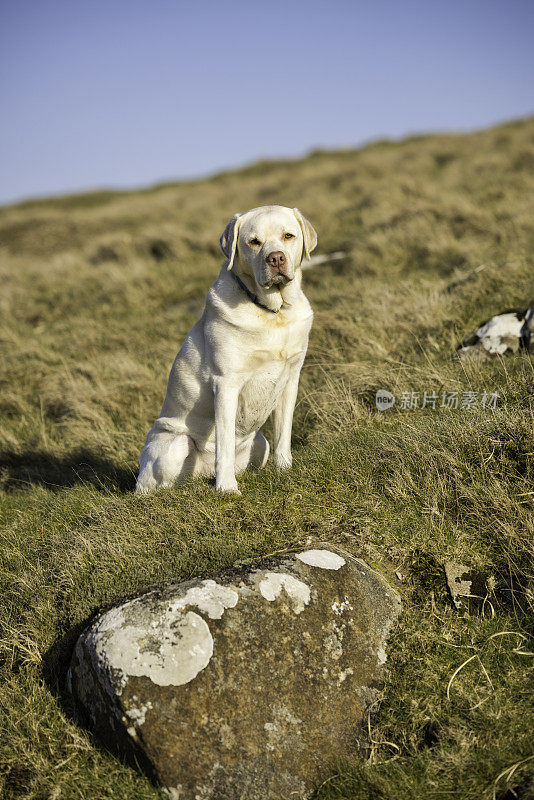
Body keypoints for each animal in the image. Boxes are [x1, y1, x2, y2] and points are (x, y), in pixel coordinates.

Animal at [136, 206, 318, 494]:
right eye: (253, 242)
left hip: (260, 444)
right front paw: (227, 489)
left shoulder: (291, 379)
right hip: (175, 446)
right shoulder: (226, 384)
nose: (276, 258)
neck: (271, 312)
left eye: (288, 236)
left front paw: (285, 470)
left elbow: (283, 434)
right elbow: (224, 444)